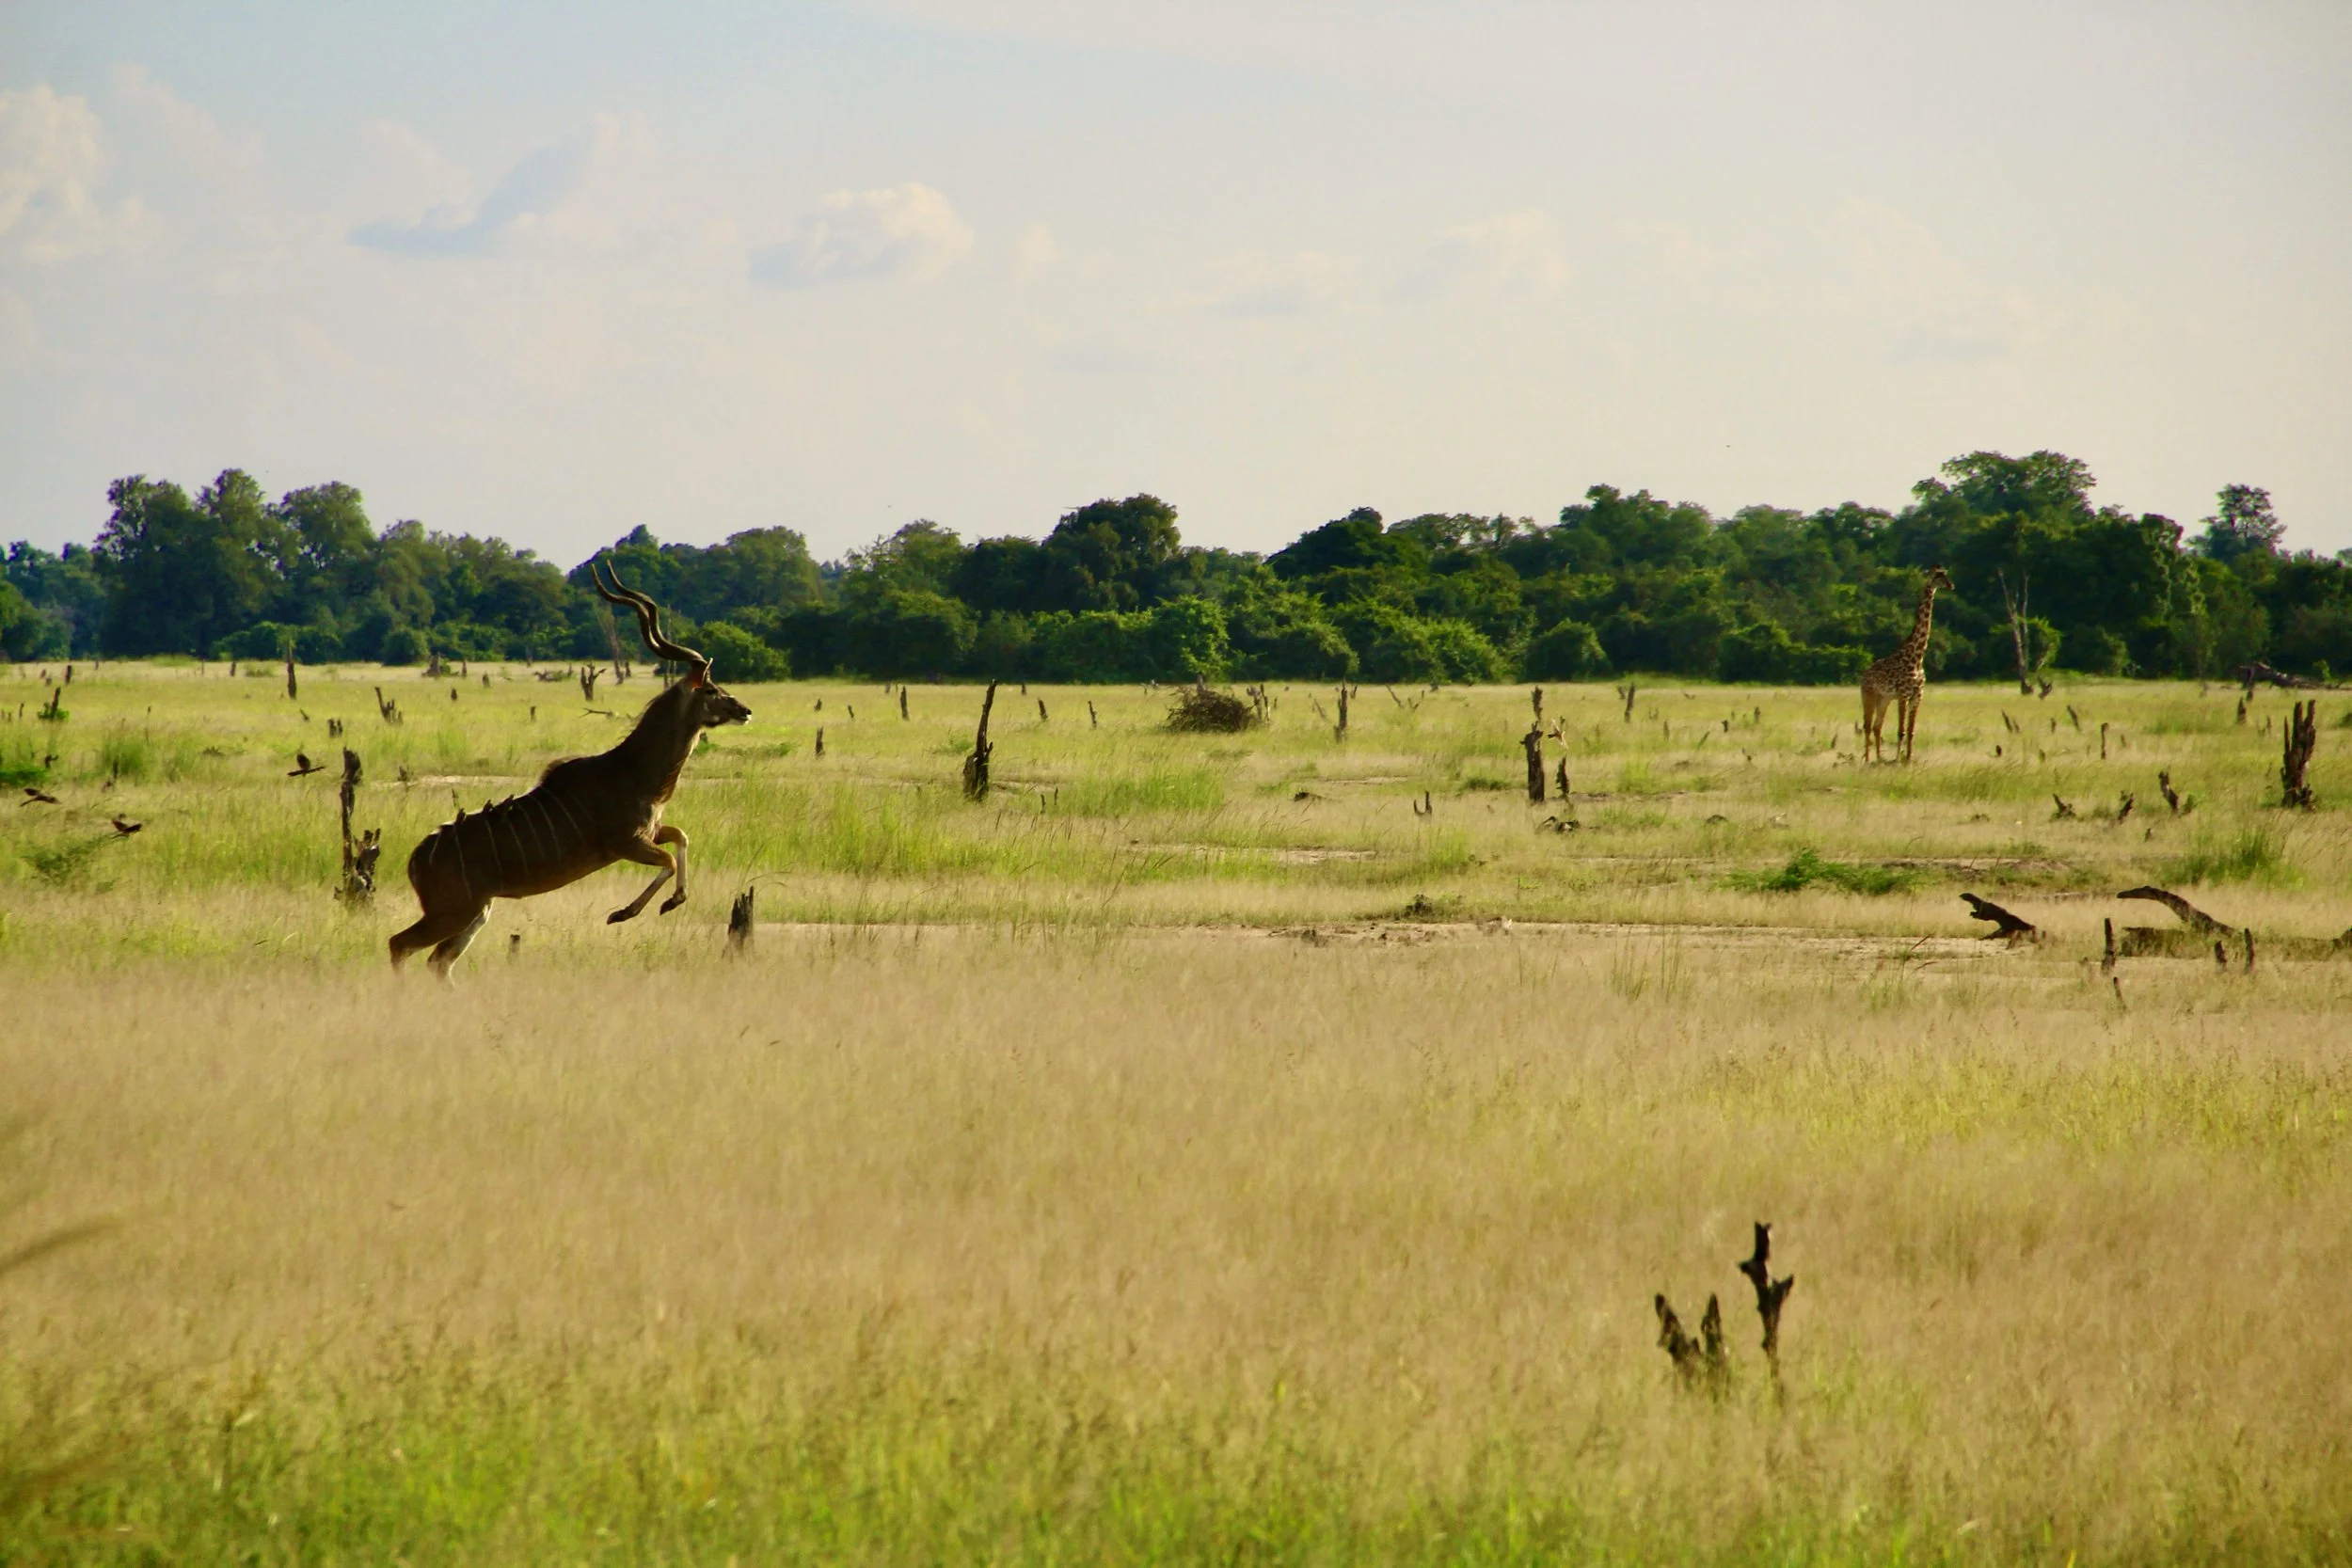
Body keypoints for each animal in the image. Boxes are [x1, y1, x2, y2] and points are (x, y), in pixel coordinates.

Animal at [388, 561, 752, 976]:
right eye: (710, 689)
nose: (744, 710)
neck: (636, 770)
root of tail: (416, 861)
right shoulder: (628, 842)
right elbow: (671, 860)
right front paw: (624, 913)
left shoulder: (651, 834)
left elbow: (681, 838)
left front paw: (671, 902)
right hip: (454, 910)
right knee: (400, 944)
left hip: (477, 910)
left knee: (438, 960)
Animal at [1860, 566, 1955, 763]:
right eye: (1937, 575)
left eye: (1946, 573)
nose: (1951, 585)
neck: (1917, 657)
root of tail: (1863, 675)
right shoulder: (1903, 695)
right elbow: (1901, 731)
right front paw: (1898, 759)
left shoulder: (1917, 695)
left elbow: (1911, 731)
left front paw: (1909, 759)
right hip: (1869, 695)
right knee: (1867, 725)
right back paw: (1867, 759)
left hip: (1884, 698)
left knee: (1877, 726)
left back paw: (1879, 759)